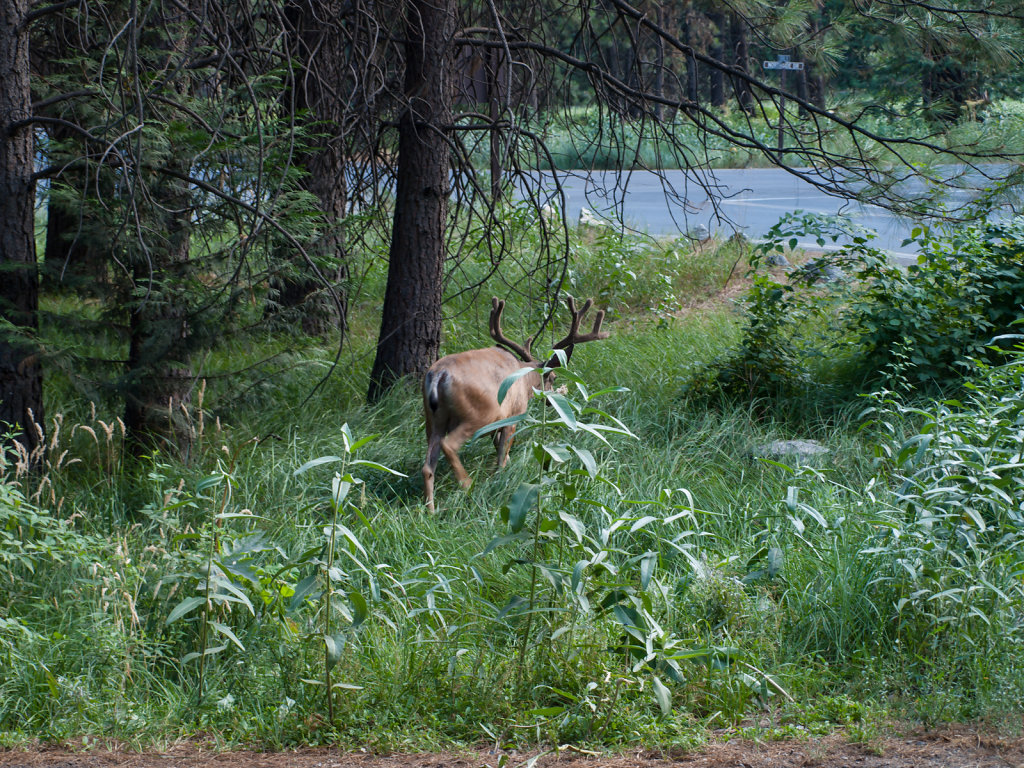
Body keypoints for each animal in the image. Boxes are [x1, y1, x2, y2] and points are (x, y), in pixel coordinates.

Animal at [421, 296, 606, 514]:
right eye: (552, 377)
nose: (549, 401)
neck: (524, 377)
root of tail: (439, 375)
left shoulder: (498, 422)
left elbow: (499, 450)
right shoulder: (513, 416)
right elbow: (502, 454)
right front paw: (498, 481)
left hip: (433, 419)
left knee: (428, 466)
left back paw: (430, 511)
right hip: (477, 415)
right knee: (449, 445)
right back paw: (467, 485)